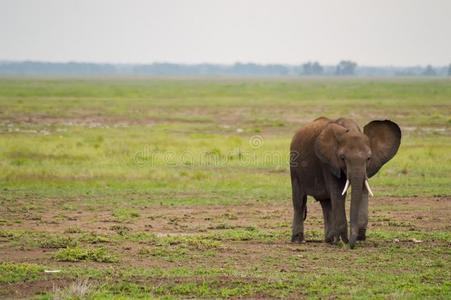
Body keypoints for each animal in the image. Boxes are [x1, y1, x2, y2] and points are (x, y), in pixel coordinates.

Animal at [290, 116, 402, 247]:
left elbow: (362, 189)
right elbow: (338, 193)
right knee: (300, 201)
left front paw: (357, 237)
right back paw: (299, 240)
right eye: (342, 158)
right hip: (294, 168)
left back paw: (330, 240)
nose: (353, 242)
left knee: (326, 203)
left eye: (369, 158)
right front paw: (345, 240)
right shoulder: (329, 162)